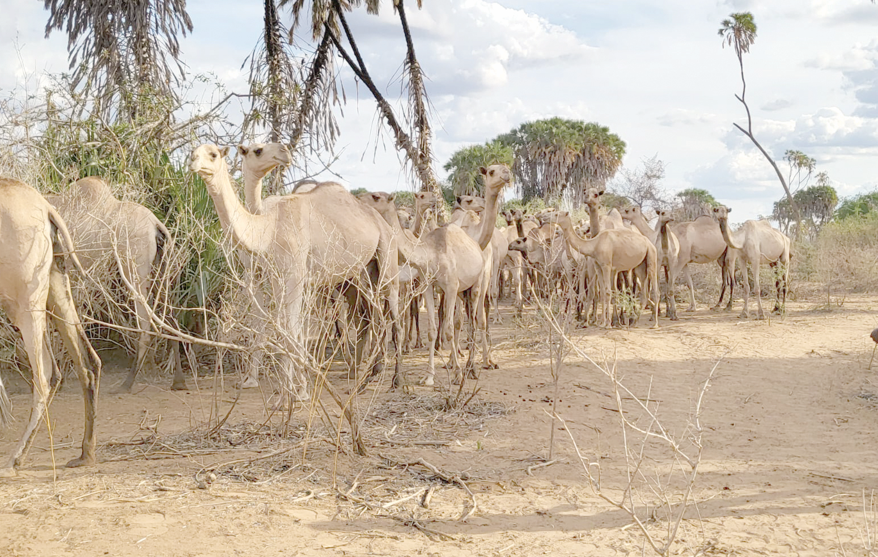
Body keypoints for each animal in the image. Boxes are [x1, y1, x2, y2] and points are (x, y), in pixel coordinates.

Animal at [0, 177, 103, 474]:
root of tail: (45, 207)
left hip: (23, 303)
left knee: (45, 374)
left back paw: (14, 459)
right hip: (55, 282)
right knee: (87, 362)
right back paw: (85, 454)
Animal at [47, 178, 180, 390]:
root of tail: (156, 225)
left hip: (134, 270)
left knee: (146, 324)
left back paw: (127, 383)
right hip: (161, 268)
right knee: (171, 317)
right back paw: (178, 382)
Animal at [191, 144, 404, 400]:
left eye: (213, 155)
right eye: (193, 151)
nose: (193, 162)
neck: (269, 228)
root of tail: (383, 224)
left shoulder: (295, 275)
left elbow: (292, 329)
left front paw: (297, 391)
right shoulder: (275, 276)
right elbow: (282, 327)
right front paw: (287, 388)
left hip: (387, 260)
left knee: (394, 321)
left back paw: (395, 381)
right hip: (365, 273)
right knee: (375, 318)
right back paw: (366, 379)